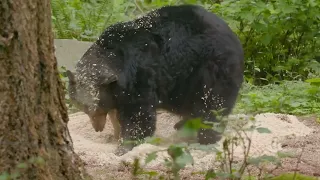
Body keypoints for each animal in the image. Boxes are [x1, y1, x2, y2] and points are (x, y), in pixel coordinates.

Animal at [66, 4, 244, 156]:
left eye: (94, 108)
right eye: (82, 107)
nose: (97, 128)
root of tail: (234, 37)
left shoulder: (140, 73)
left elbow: (138, 114)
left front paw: (124, 146)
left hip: (211, 67)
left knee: (212, 104)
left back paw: (205, 137)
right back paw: (183, 124)